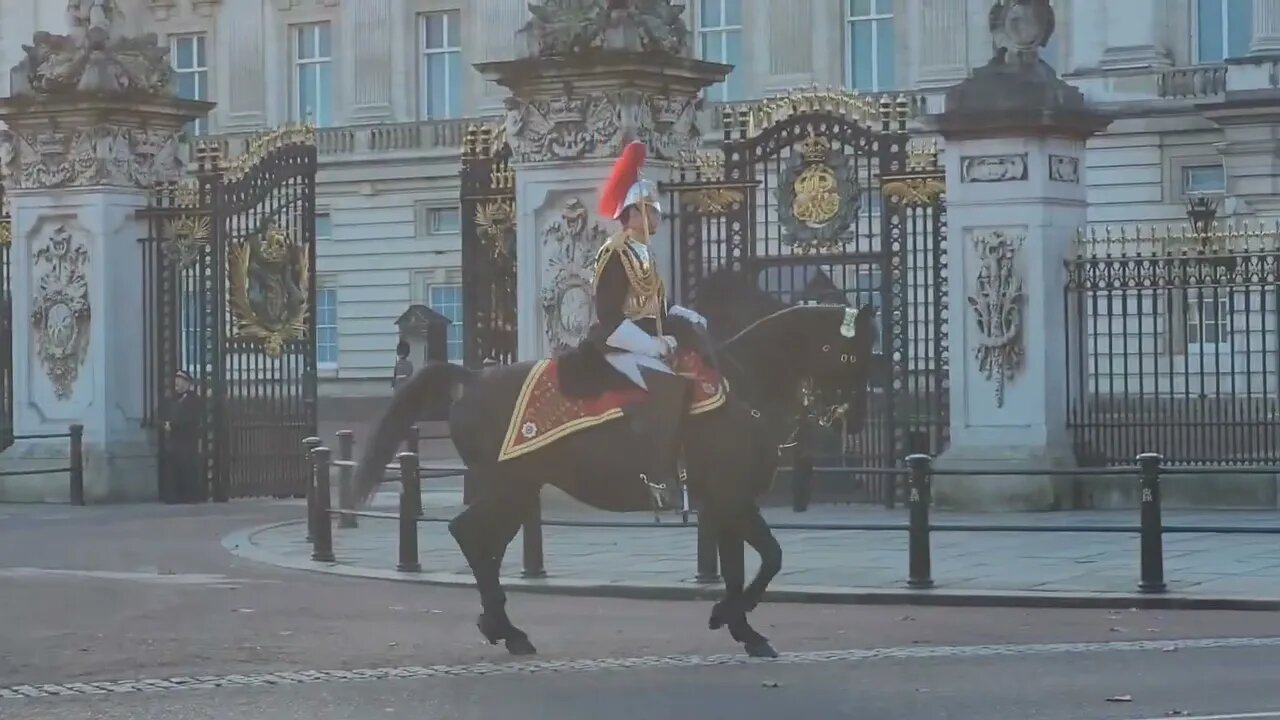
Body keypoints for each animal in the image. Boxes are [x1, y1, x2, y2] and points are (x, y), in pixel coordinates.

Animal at [355, 271, 875, 661]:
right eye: (855, 351)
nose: (852, 421)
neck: (742, 385)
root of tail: (472, 378)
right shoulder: (731, 497)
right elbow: (768, 558)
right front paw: (735, 619)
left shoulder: (727, 501)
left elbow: (743, 564)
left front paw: (738, 624)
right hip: (506, 485)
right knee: (470, 535)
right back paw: (507, 628)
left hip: (517, 488)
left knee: (486, 543)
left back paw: (500, 625)